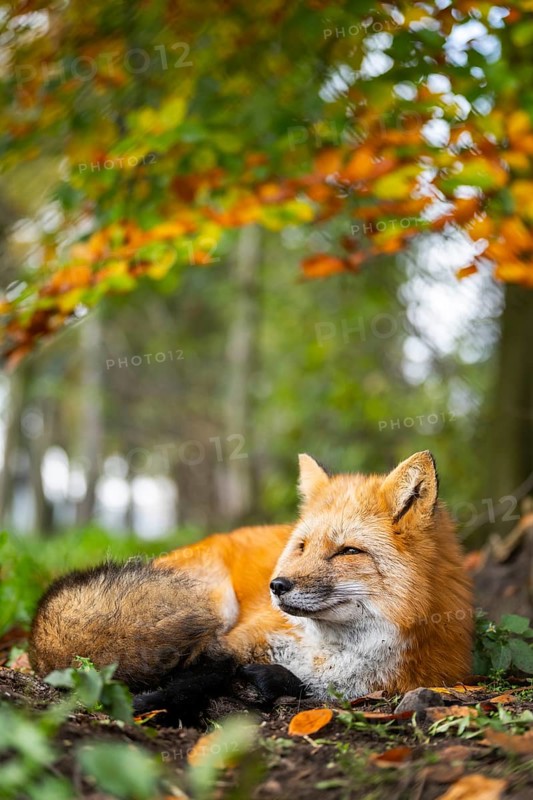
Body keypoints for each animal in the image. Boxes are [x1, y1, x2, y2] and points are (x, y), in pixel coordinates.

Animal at [29, 451, 473, 720]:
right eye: (302, 546)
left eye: (348, 551)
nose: (276, 586)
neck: (334, 653)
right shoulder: (228, 643)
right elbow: (203, 673)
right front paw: (154, 703)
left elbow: (288, 683)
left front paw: (263, 683)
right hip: (212, 603)